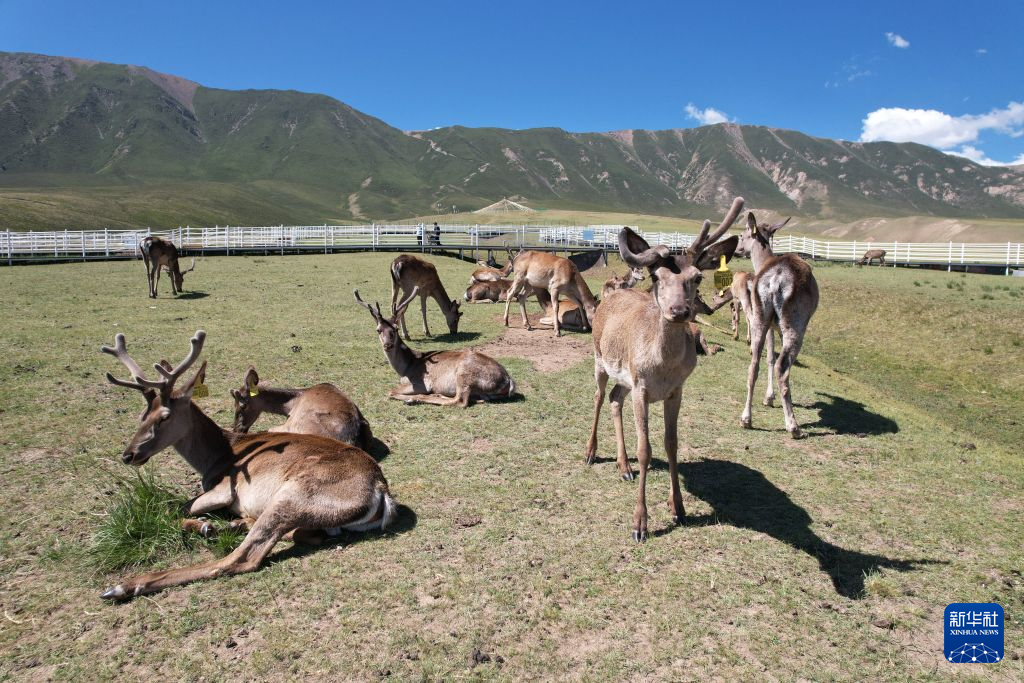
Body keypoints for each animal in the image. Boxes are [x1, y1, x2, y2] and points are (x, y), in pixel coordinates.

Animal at [355, 288, 515, 407]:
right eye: (378, 330)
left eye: (395, 329)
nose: (388, 345)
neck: (405, 368)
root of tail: (508, 381)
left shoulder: (420, 382)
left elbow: (390, 392)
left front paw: (411, 397)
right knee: (477, 399)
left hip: (465, 374)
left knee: (460, 401)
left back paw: (416, 399)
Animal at [584, 197, 744, 542]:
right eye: (657, 277)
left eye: (697, 277)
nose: (679, 310)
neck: (663, 366)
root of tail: (610, 296)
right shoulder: (642, 389)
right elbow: (646, 449)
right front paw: (639, 524)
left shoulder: (675, 391)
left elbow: (672, 445)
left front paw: (678, 507)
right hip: (600, 358)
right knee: (599, 397)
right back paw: (590, 452)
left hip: (625, 378)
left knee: (615, 399)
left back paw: (624, 467)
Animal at [735, 212, 819, 438]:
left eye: (742, 235)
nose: (738, 249)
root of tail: (775, 279)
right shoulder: (778, 327)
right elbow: (774, 359)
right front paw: (771, 398)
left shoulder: (770, 325)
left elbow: (769, 357)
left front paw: (768, 398)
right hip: (794, 324)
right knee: (783, 366)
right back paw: (793, 425)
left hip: (760, 315)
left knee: (753, 363)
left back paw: (746, 419)